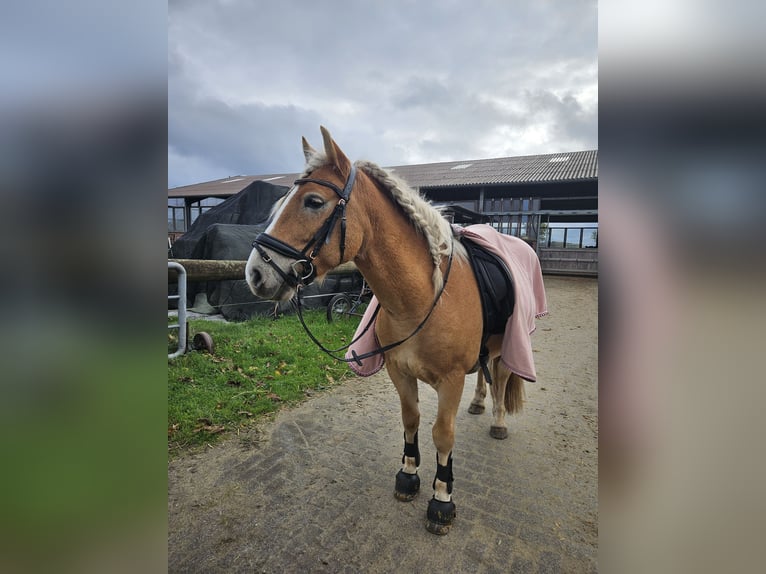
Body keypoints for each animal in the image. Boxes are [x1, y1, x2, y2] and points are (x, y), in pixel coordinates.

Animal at [246, 126, 541, 534]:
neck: (423, 300)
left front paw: (442, 499)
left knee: (500, 376)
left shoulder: (450, 381)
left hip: (510, 344)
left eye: (314, 202)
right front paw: (408, 476)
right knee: (485, 377)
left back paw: (496, 419)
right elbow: (411, 420)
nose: (255, 273)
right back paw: (480, 404)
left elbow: (442, 434)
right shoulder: (399, 372)